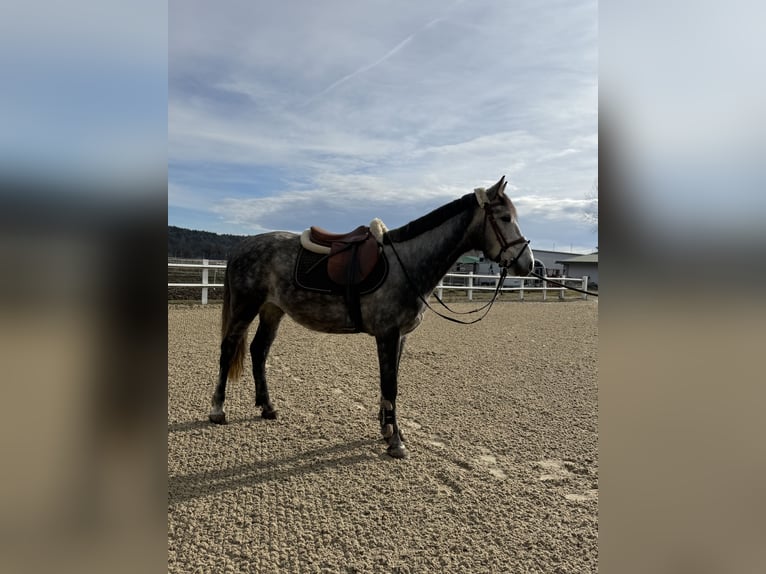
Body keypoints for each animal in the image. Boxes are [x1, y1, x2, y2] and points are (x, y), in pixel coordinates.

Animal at [209, 176, 534, 458]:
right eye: (505, 218)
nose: (528, 264)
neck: (408, 262)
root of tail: (242, 246)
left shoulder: (399, 336)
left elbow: (390, 383)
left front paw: (389, 429)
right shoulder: (387, 334)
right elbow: (390, 385)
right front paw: (395, 441)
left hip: (272, 311)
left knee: (258, 351)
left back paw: (267, 407)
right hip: (245, 307)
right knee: (228, 350)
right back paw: (217, 411)